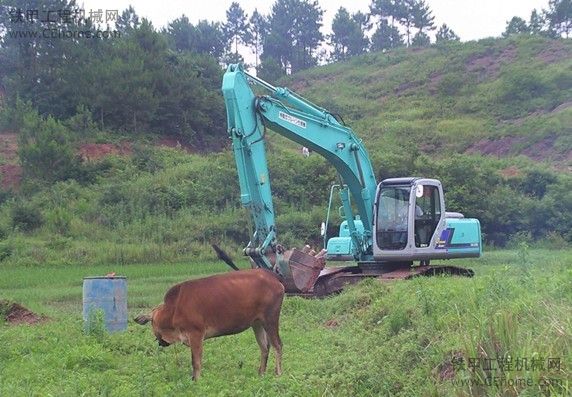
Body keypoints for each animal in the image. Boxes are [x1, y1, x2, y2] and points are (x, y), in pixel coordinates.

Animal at [135, 268, 286, 378]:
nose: (160, 342)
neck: (173, 309)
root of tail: (273, 277)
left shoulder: (196, 334)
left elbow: (196, 361)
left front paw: (196, 380)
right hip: (257, 323)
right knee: (264, 347)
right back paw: (261, 374)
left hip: (270, 319)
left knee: (277, 345)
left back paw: (278, 374)